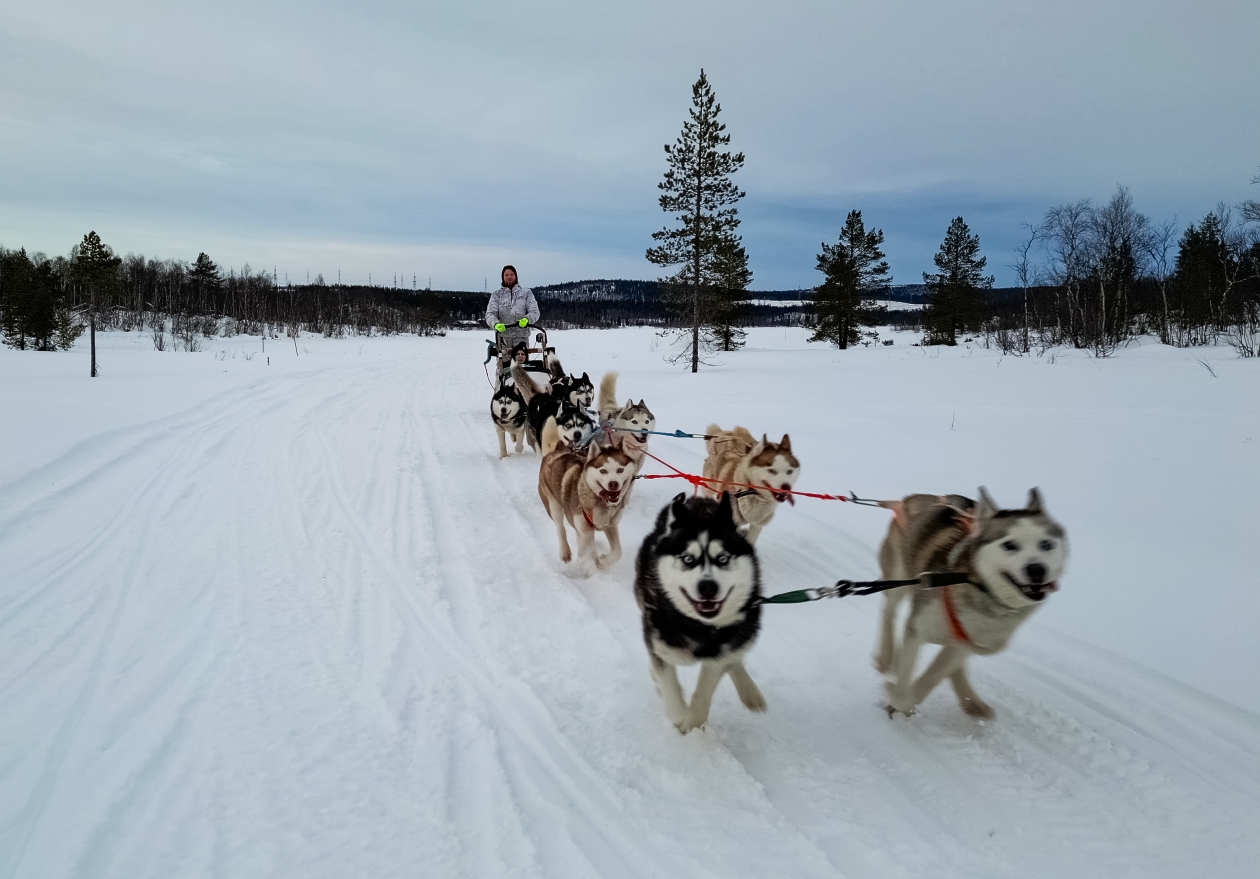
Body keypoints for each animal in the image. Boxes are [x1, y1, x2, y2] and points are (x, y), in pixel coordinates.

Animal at [536, 413, 635, 564]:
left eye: (620, 470)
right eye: (603, 471)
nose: (613, 484)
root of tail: (554, 453)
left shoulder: (611, 526)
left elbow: (617, 552)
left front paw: (603, 562)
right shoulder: (584, 531)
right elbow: (588, 553)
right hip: (554, 506)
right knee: (560, 528)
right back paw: (565, 551)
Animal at [635, 488, 761, 730]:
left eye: (723, 558)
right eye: (687, 559)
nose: (708, 587)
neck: (701, 628)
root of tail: (699, 501)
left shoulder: (718, 657)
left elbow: (704, 690)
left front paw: (692, 724)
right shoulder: (661, 648)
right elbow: (669, 687)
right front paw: (678, 717)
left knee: (735, 655)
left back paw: (750, 692)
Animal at [876, 486, 1073, 720]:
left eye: (1046, 544)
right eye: (1010, 545)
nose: (1037, 569)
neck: (975, 585)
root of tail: (915, 498)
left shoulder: (968, 641)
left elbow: (933, 676)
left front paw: (903, 699)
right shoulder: (919, 628)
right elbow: (909, 676)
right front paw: (898, 697)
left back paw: (971, 701)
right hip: (899, 578)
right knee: (889, 611)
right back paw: (886, 656)